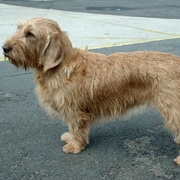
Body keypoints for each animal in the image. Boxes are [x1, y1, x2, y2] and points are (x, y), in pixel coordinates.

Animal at [2, 17, 180, 165]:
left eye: (30, 34)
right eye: (18, 28)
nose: (4, 48)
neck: (62, 65)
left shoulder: (74, 110)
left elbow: (76, 128)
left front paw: (75, 145)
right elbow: (72, 128)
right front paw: (69, 137)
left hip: (172, 109)